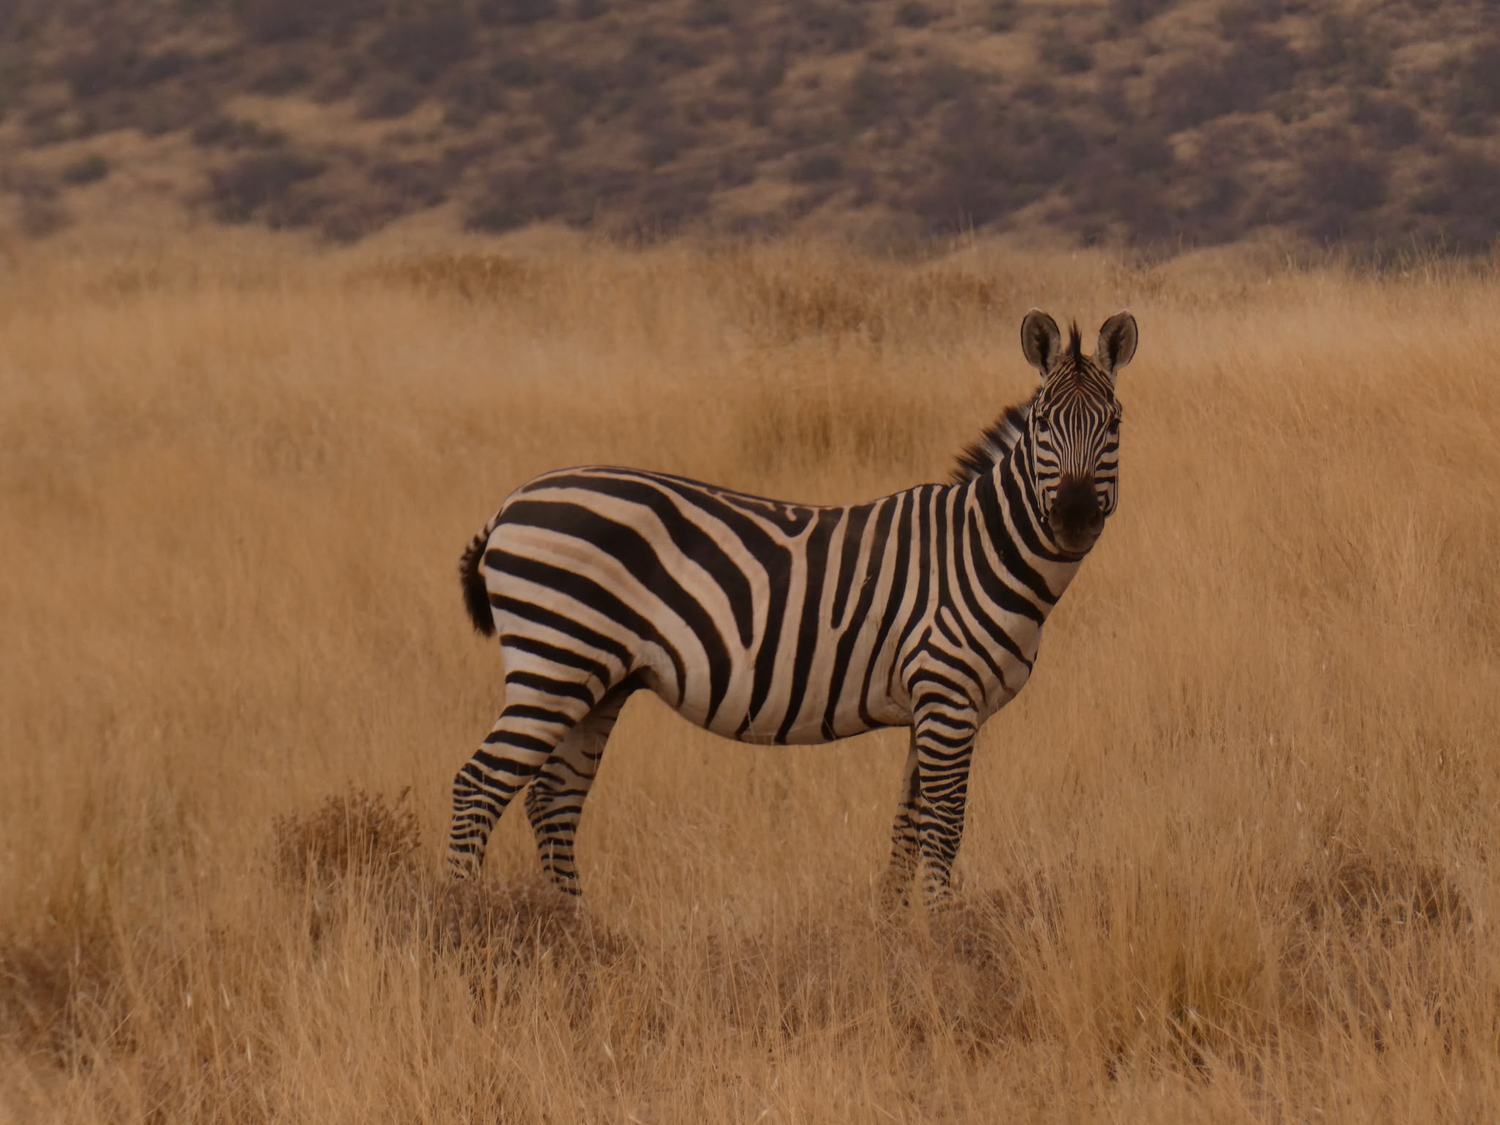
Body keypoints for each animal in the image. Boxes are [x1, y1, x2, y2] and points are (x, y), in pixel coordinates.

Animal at [448, 309, 1138, 905]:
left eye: (1115, 425)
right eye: (1043, 425)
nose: (1075, 517)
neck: (981, 549)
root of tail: (511, 503)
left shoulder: (929, 704)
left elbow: (906, 826)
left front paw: (895, 929)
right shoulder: (948, 696)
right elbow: (944, 828)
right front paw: (942, 933)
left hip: (597, 679)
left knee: (553, 799)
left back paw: (574, 929)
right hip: (555, 660)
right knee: (479, 786)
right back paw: (464, 919)